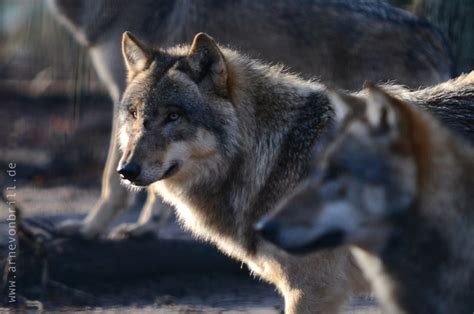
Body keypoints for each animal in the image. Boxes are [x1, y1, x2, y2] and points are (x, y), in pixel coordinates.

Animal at [49, 0, 456, 239]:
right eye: (134, 114)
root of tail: (433, 33)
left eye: (173, 116)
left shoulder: (117, 93)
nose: (130, 169)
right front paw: (145, 225)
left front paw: (89, 228)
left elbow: (110, 178)